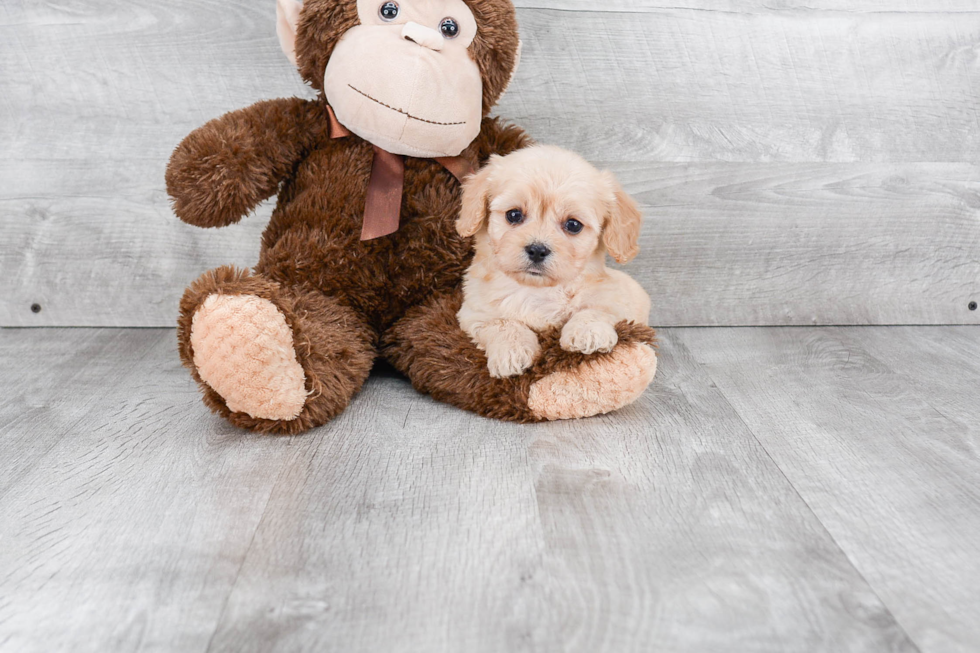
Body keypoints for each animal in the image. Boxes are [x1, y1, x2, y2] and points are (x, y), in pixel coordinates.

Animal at [458, 143, 652, 376]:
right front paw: (512, 351)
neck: (536, 290)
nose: (537, 250)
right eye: (514, 215)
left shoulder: (620, 298)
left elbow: (596, 308)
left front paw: (588, 331)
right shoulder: (473, 312)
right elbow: (501, 322)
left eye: (573, 225)